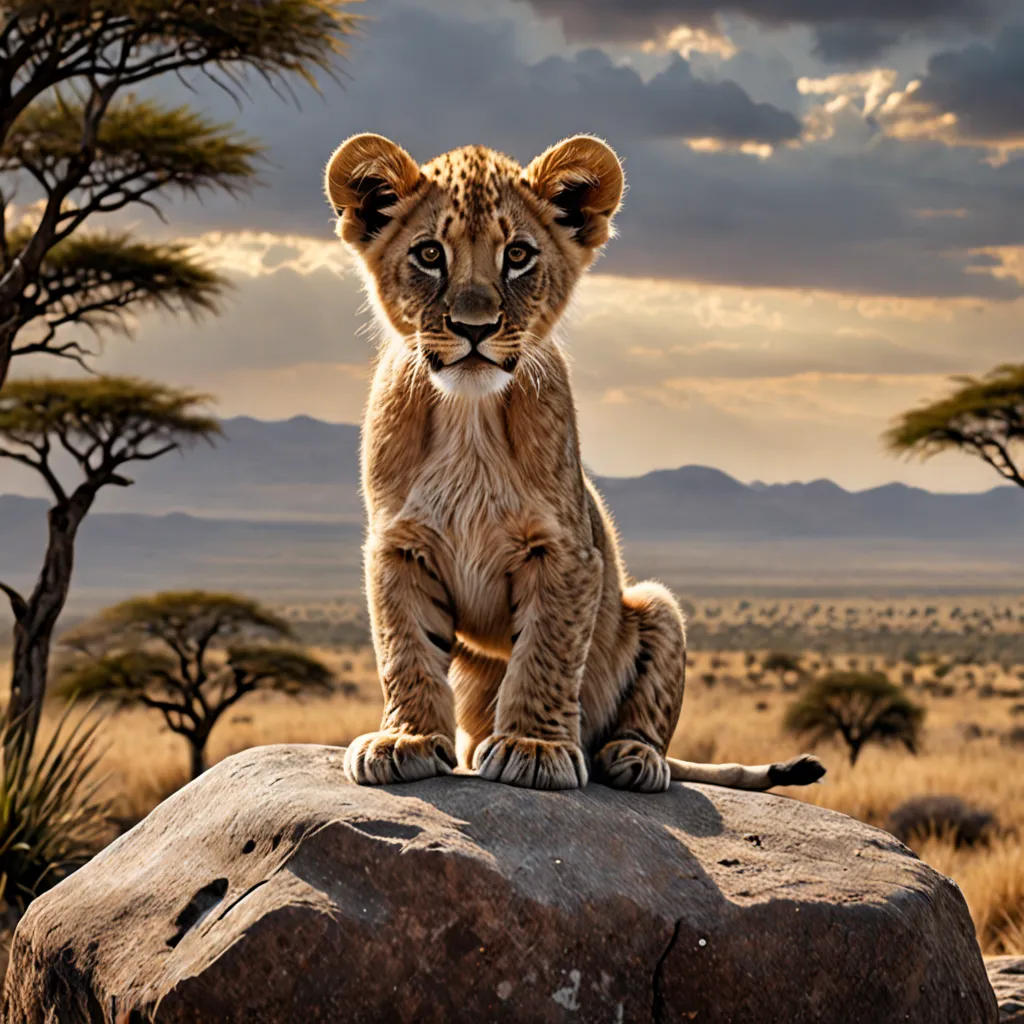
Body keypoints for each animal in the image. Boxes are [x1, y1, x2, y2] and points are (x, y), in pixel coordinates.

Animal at [324, 132, 825, 792]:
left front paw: (535, 748)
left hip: (656, 606)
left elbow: (546, 652)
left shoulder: (567, 551)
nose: (474, 327)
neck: (470, 414)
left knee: (645, 723)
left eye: (517, 255)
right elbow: (405, 649)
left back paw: (632, 759)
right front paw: (405, 739)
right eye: (430, 253)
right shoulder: (398, 546)